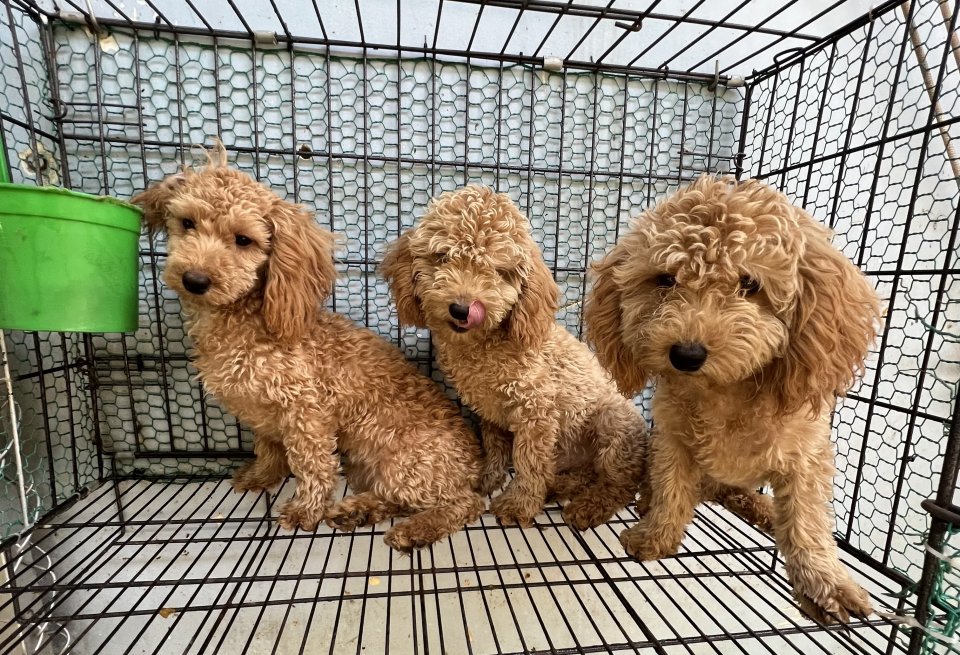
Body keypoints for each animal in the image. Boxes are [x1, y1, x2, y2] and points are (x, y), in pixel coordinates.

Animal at [132, 144, 503, 552]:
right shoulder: (262, 415)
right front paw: (260, 477)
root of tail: (476, 466)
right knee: (398, 497)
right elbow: (267, 450)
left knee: (464, 504)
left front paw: (304, 510)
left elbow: (312, 465)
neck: (243, 324)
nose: (195, 279)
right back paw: (356, 511)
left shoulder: (305, 410)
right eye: (187, 223)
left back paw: (417, 529)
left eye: (244, 240)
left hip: (405, 462)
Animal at [585, 175, 881, 623]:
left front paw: (825, 583)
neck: (723, 392)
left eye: (750, 284)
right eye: (665, 280)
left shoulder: (806, 456)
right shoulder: (671, 440)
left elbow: (806, 522)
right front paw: (657, 534)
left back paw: (763, 511)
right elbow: (671, 488)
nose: (686, 354)